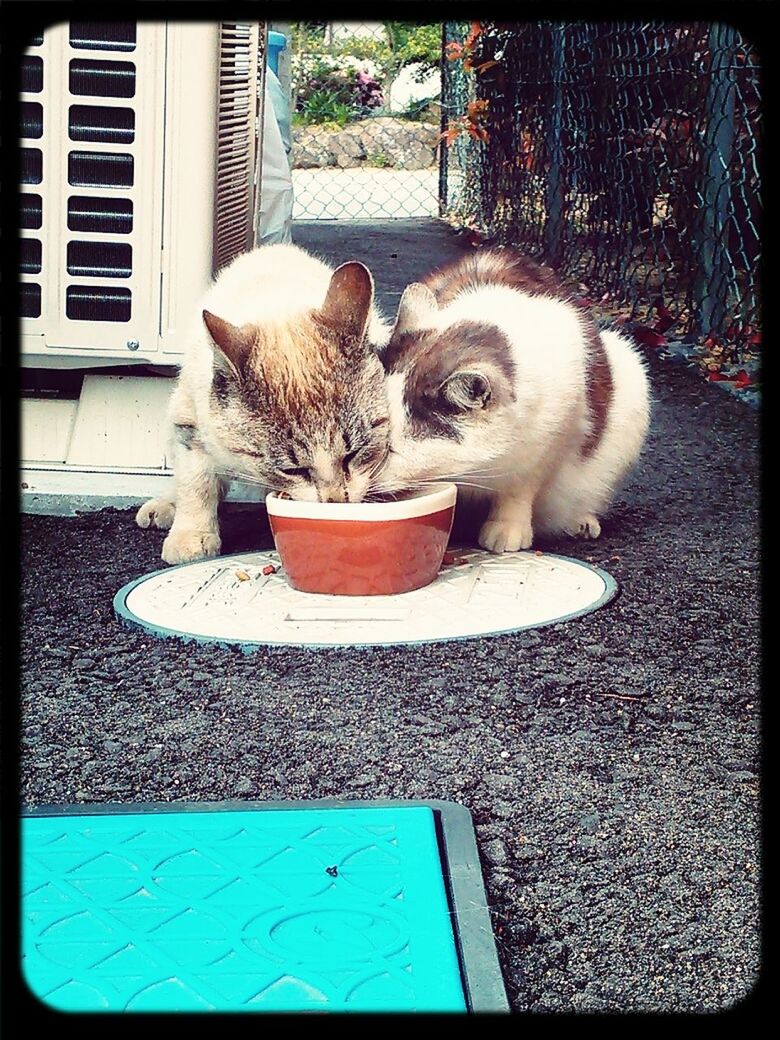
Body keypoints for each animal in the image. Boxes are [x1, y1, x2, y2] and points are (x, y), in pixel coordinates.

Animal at [136, 244, 391, 565]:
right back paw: (165, 506)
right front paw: (191, 538)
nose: (334, 503)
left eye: (352, 455)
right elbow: (197, 481)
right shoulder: (191, 423)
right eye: (293, 470)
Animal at [376, 248, 648, 553]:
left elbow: (519, 488)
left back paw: (581, 522)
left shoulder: (552, 439)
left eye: (388, 449)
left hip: (631, 367)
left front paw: (508, 527)